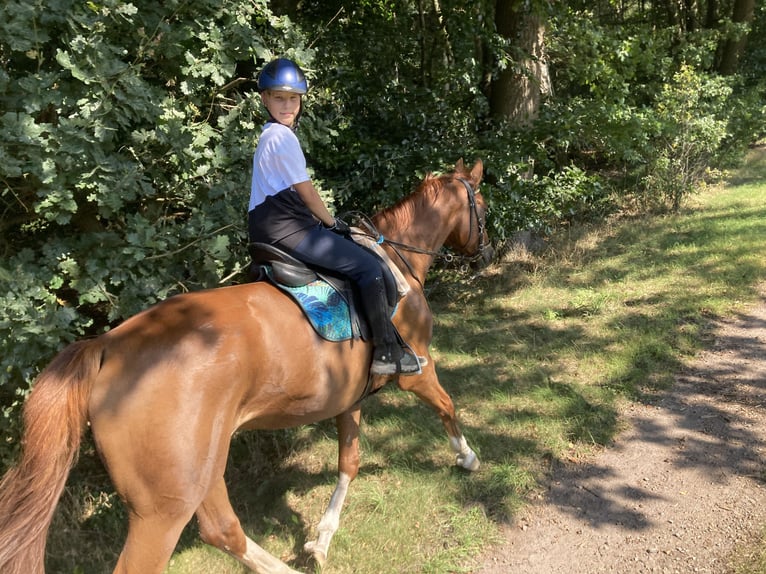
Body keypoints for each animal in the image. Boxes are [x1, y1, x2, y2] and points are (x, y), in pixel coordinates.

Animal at [0, 159, 492, 574]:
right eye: (482, 207)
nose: (486, 253)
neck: (395, 263)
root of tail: (108, 346)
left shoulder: (348, 395)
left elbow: (348, 462)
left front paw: (321, 540)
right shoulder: (419, 369)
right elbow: (446, 405)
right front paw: (467, 456)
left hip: (199, 470)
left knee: (222, 529)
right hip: (163, 507)